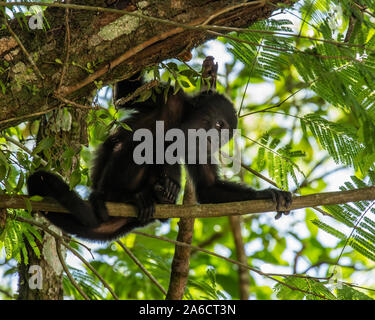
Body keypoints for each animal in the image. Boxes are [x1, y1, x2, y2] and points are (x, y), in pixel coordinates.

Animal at [27, 58, 294, 242]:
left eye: (224, 136)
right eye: (219, 125)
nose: (213, 140)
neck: (182, 121)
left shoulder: (199, 148)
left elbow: (208, 188)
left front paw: (270, 194)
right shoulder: (168, 96)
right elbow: (126, 95)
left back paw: (162, 194)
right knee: (141, 145)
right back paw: (121, 196)